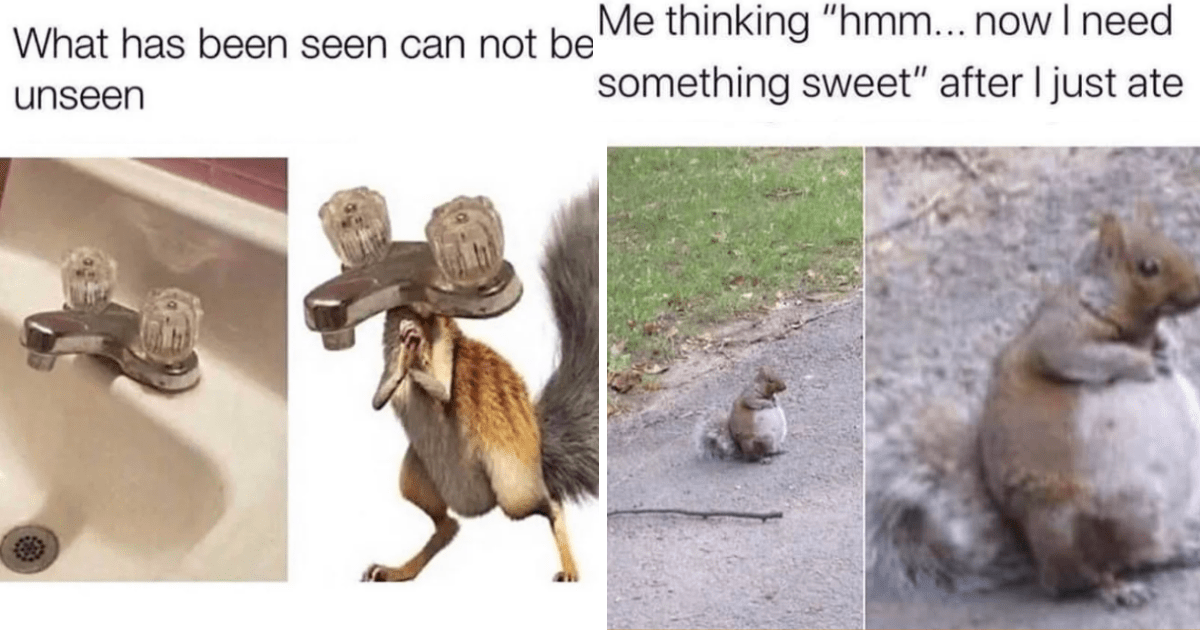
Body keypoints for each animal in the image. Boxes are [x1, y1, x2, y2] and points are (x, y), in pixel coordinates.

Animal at [361, 185, 598, 583]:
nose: (411, 329)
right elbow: (379, 396)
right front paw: (402, 363)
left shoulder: (443, 344)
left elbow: (442, 386)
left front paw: (415, 356)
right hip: (415, 475)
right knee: (447, 527)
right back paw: (400, 569)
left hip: (512, 486)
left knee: (550, 504)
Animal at [868, 209, 1200, 606]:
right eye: (1148, 267)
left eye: (1172, 241)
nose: (1199, 288)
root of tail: (1032, 552)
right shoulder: (1059, 339)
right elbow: (1093, 356)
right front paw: (1146, 363)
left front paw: (1170, 347)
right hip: (1070, 525)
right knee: (1082, 577)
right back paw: (1119, 589)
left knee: (1141, 553)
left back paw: (1180, 551)